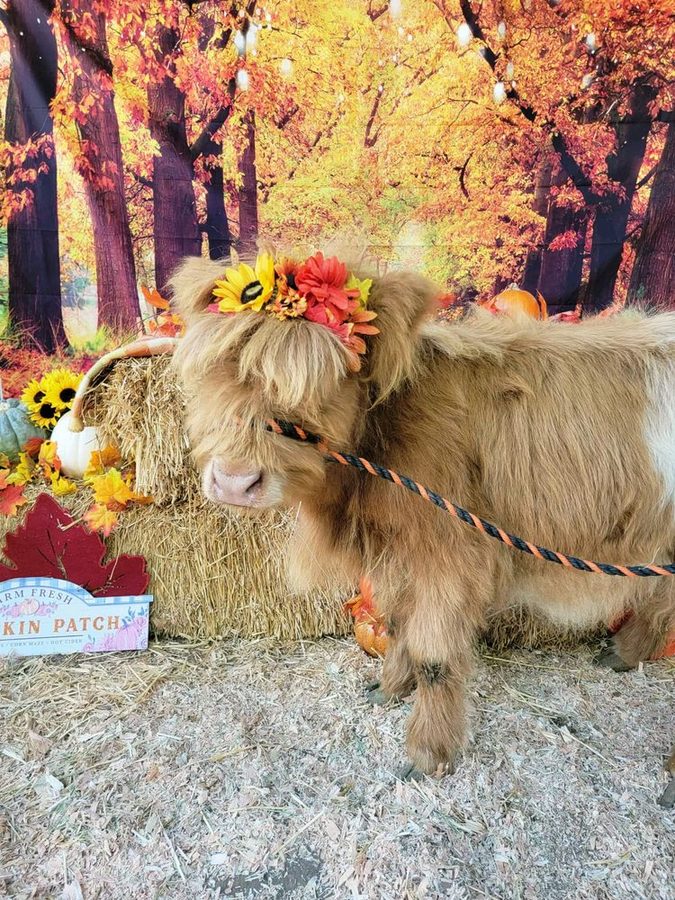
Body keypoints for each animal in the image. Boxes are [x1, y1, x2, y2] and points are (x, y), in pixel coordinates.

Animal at [172, 253, 675, 778]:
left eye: (327, 381)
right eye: (218, 369)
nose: (234, 481)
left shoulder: (450, 558)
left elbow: (434, 654)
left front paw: (428, 752)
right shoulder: (399, 554)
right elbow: (398, 624)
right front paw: (389, 687)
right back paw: (623, 653)